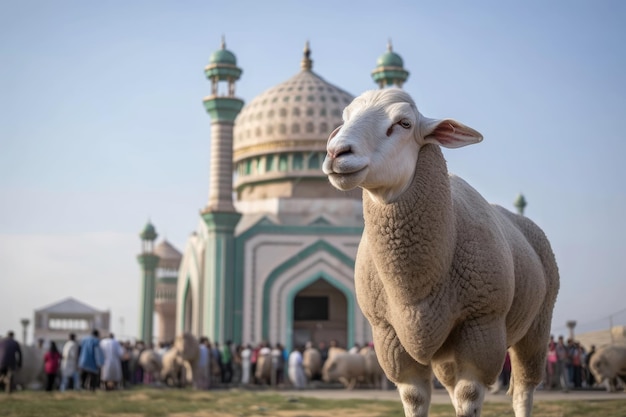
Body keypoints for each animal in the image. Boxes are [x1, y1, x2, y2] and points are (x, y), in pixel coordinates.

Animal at [320, 88, 560, 416]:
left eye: (404, 123)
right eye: (345, 118)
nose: (336, 153)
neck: (414, 294)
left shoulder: (481, 329)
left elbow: (469, 397)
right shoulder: (389, 337)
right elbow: (416, 399)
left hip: (537, 325)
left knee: (523, 391)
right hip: (447, 355)